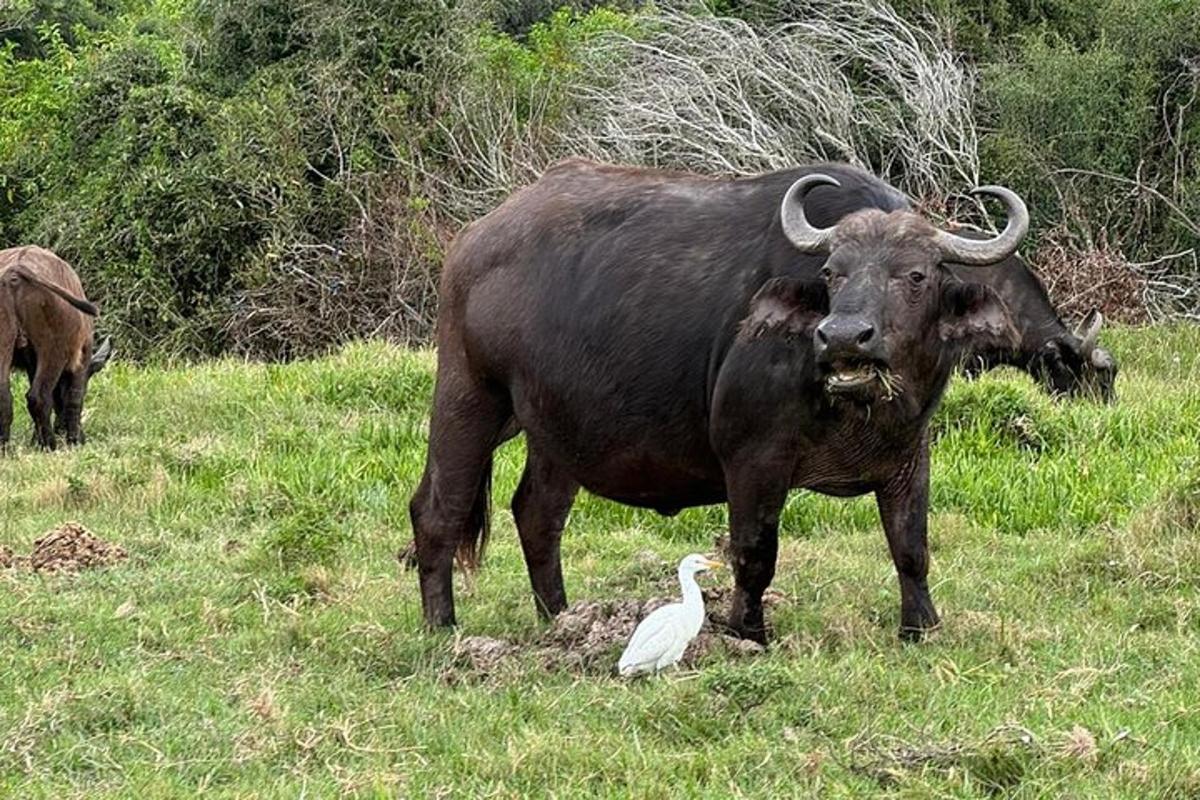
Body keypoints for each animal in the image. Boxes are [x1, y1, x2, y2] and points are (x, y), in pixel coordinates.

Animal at [0, 244, 99, 450]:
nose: (61, 428)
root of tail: (14, 274)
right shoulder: (82, 357)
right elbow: (74, 398)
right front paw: (75, 440)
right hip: (54, 351)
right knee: (39, 397)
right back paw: (49, 444)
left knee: (4, 396)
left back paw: (5, 446)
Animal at [410, 159, 1032, 642]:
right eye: (833, 272)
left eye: (917, 275)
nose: (842, 336)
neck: (857, 411)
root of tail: (474, 240)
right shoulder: (754, 461)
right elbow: (754, 554)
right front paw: (748, 632)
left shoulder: (908, 457)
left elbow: (911, 548)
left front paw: (920, 628)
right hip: (469, 395)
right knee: (438, 509)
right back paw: (443, 627)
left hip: (555, 427)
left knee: (538, 514)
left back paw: (561, 619)